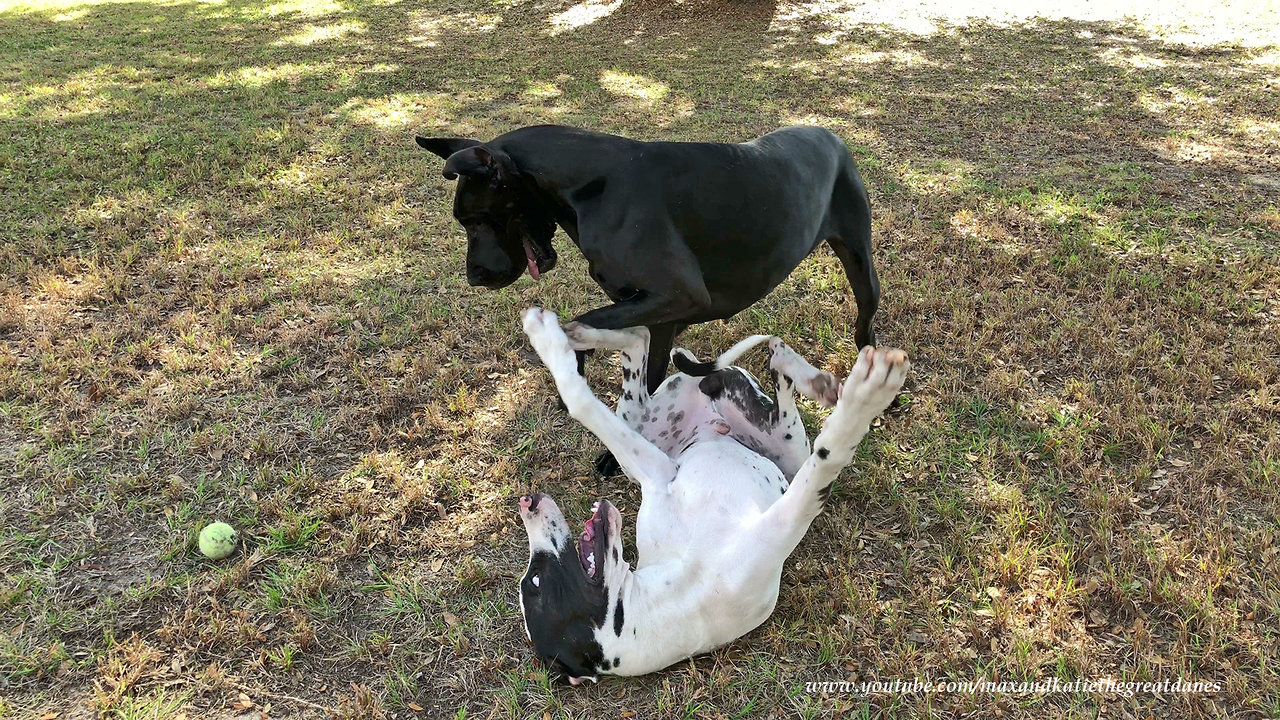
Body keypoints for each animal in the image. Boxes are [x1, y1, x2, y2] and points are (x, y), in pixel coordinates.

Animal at [514, 307, 906, 676]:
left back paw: (577, 332)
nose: (527, 501)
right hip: (786, 443)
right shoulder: (779, 522)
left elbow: (580, 400)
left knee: (643, 340)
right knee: (776, 374)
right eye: (534, 580)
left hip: (638, 421)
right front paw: (866, 396)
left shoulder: (657, 473)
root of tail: (707, 394)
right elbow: (831, 452)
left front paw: (546, 340)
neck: (680, 589)